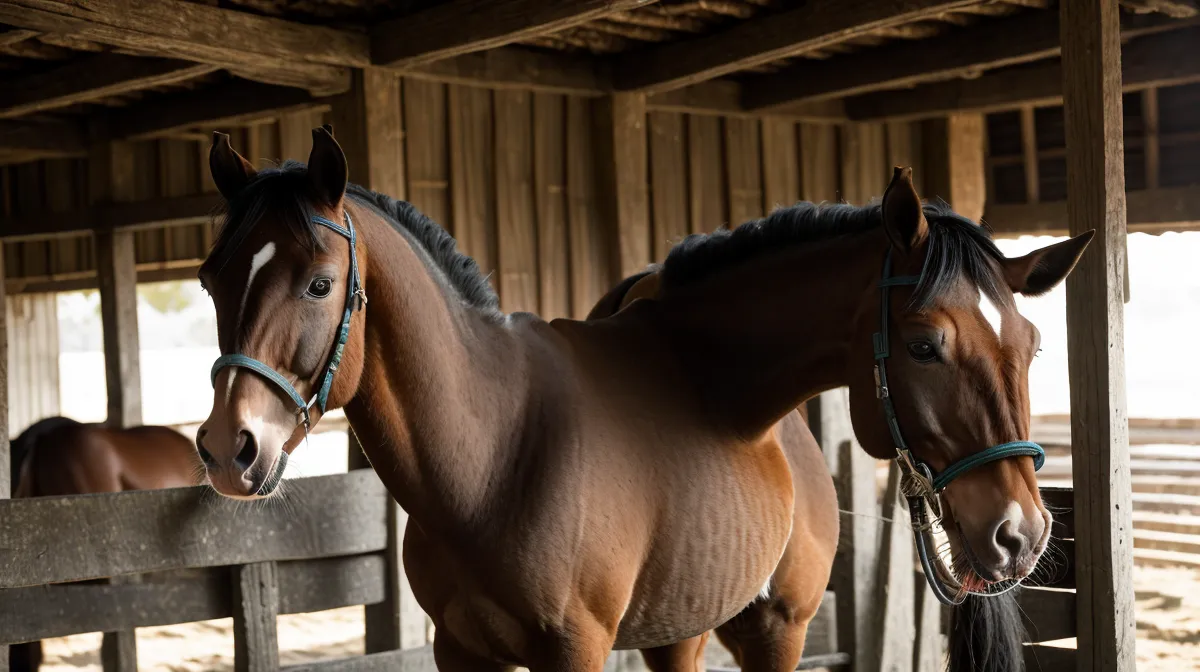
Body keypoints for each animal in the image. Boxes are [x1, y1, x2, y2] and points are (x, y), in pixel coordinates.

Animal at [195, 125, 1090, 672]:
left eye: (319, 283)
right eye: (210, 281)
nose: (1020, 531)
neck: (491, 453)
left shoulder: (576, 651)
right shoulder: (463, 650)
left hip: (777, 629)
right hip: (679, 631)